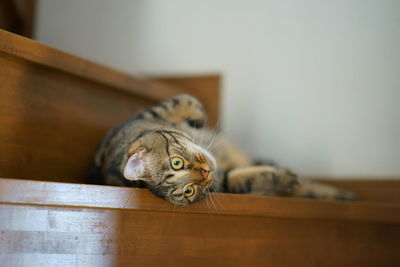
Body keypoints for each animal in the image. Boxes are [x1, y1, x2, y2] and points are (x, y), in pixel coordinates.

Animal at [94, 94, 356, 205]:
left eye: (176, 162)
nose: (206, 172)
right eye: (189, 191)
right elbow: (249, 178)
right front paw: (282, 177)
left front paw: (199, 117)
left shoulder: (149, 115)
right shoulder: (226, 182)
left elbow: (185, 101)